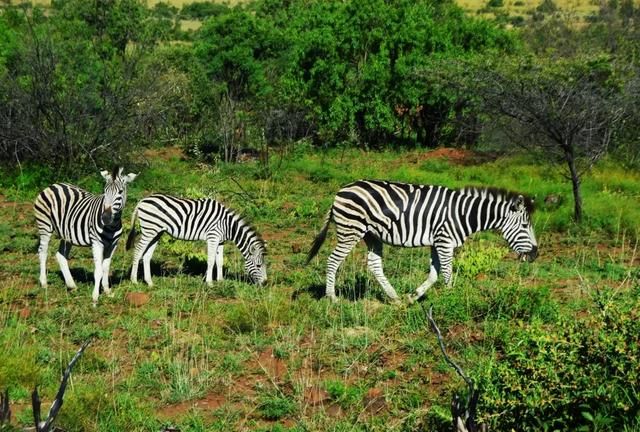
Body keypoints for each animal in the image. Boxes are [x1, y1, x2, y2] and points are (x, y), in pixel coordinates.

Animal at [34, 165, 138, 304]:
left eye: (120, 192)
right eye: (104, 191)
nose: (105, 217)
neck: (112, 225)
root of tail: (53, 185)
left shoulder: (113, 245)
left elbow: (106, 267)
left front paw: (107, 291)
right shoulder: (97, 243)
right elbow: (98, 270)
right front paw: (95, 298)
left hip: (67, 234)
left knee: (60, 255)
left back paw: (71, 285)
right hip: (45, 227)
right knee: (43, 252)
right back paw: (44, 283)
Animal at [126, 195, 266, 286]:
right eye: (258, 266)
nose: (265, 283)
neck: (227, 225)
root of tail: (142, 201)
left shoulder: (221, 241)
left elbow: (220, 261)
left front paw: (220, 281)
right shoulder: (213, 237)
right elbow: (211, 261)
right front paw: (209, 282)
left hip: (157, 232)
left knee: (146, 255)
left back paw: (149, 282)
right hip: (149, 229)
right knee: (138, 250)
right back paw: (134, 280)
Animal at [308, 181, 536, 302]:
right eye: (525, 226)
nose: (536, 254)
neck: (463, 213)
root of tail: (340, 191)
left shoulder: (437, 242)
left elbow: (434, 274)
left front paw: (413, 297)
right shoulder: (445, 240)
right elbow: (447, 273)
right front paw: (450, 299)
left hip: (372, 235)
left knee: (374, 265)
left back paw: (394, 297)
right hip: (351, 230)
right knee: (333, 260)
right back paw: (332, 297)